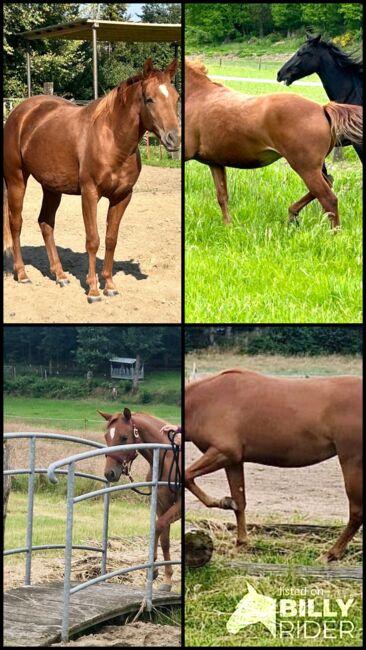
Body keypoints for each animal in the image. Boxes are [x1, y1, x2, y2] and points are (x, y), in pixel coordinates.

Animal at [2, 58, 180, 302]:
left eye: (176, 98)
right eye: (149, 99)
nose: (174, 138)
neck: (112, 140)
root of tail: (19, 113)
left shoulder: (122, 197)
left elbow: (111, 239)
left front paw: (110, 285)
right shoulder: (89, 194)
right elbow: (93, 240)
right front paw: (93, 290)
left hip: (52, 188)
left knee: (46, 223)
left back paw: (60, 275)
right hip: (16, 179)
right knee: (16, 223)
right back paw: (22, 274)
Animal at [98, 404, 182, 588]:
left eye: (124, 437)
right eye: (107, 436)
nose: (109, 473)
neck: (169, 460)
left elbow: (158, 527)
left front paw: (155, 568)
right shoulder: (161, 505)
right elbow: (164, 539)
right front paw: (166, 577)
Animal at [184, 58, 362, 229]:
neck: (196, 96)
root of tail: (323, 108)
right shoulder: (215, 162)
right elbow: (222, 196)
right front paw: (229, 227)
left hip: (306, 168)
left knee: (328, 198)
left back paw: (333, 233)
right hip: (313, 167)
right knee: (327, 184)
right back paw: (292, 214)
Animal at [184, 368, 362, 560]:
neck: (206, 400)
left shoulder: (223, 452)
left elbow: (186, 476)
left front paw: (223, 503)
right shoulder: (233, 461)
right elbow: (239, 502)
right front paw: (240, 544)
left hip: (351, 461)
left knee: (356, 511)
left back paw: (330, 555)